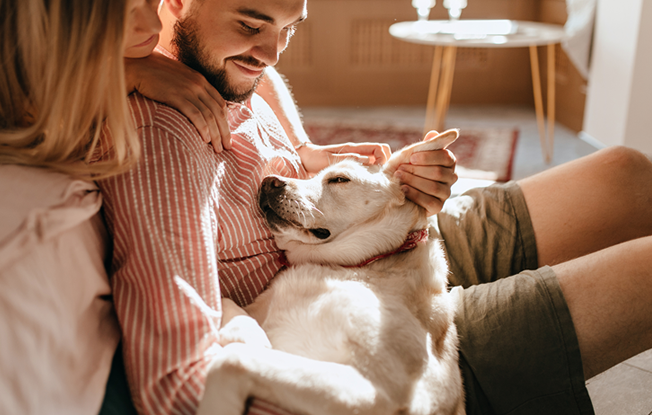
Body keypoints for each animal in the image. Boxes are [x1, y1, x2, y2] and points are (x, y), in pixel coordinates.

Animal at [197, 130, 464, 415]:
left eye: (339, 179)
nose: (268, 181)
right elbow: (227, 301)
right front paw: (242, 332)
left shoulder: (382, 391)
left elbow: (234, 359)